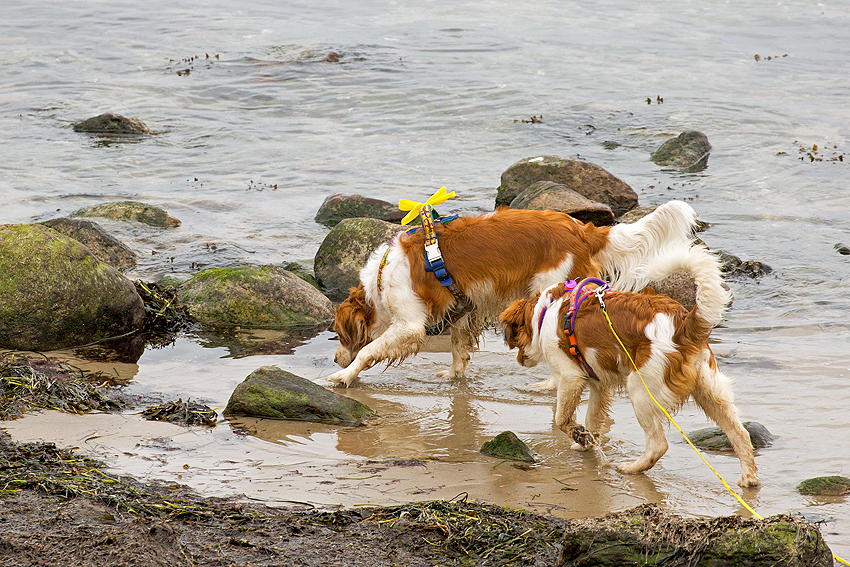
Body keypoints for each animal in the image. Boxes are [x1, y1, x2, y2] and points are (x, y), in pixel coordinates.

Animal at [496, 244, 756, 488]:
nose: (519, 360)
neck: (546, 312)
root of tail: (683, 323)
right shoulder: (599, 385)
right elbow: (593, 420)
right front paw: (585, 443)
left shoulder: (571, 377)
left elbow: (562, 418)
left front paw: (577, 435)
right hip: (710, 392)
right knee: (740, 433)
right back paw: (749, 478)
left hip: (641, 390)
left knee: (658, 445)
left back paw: (633, 468)